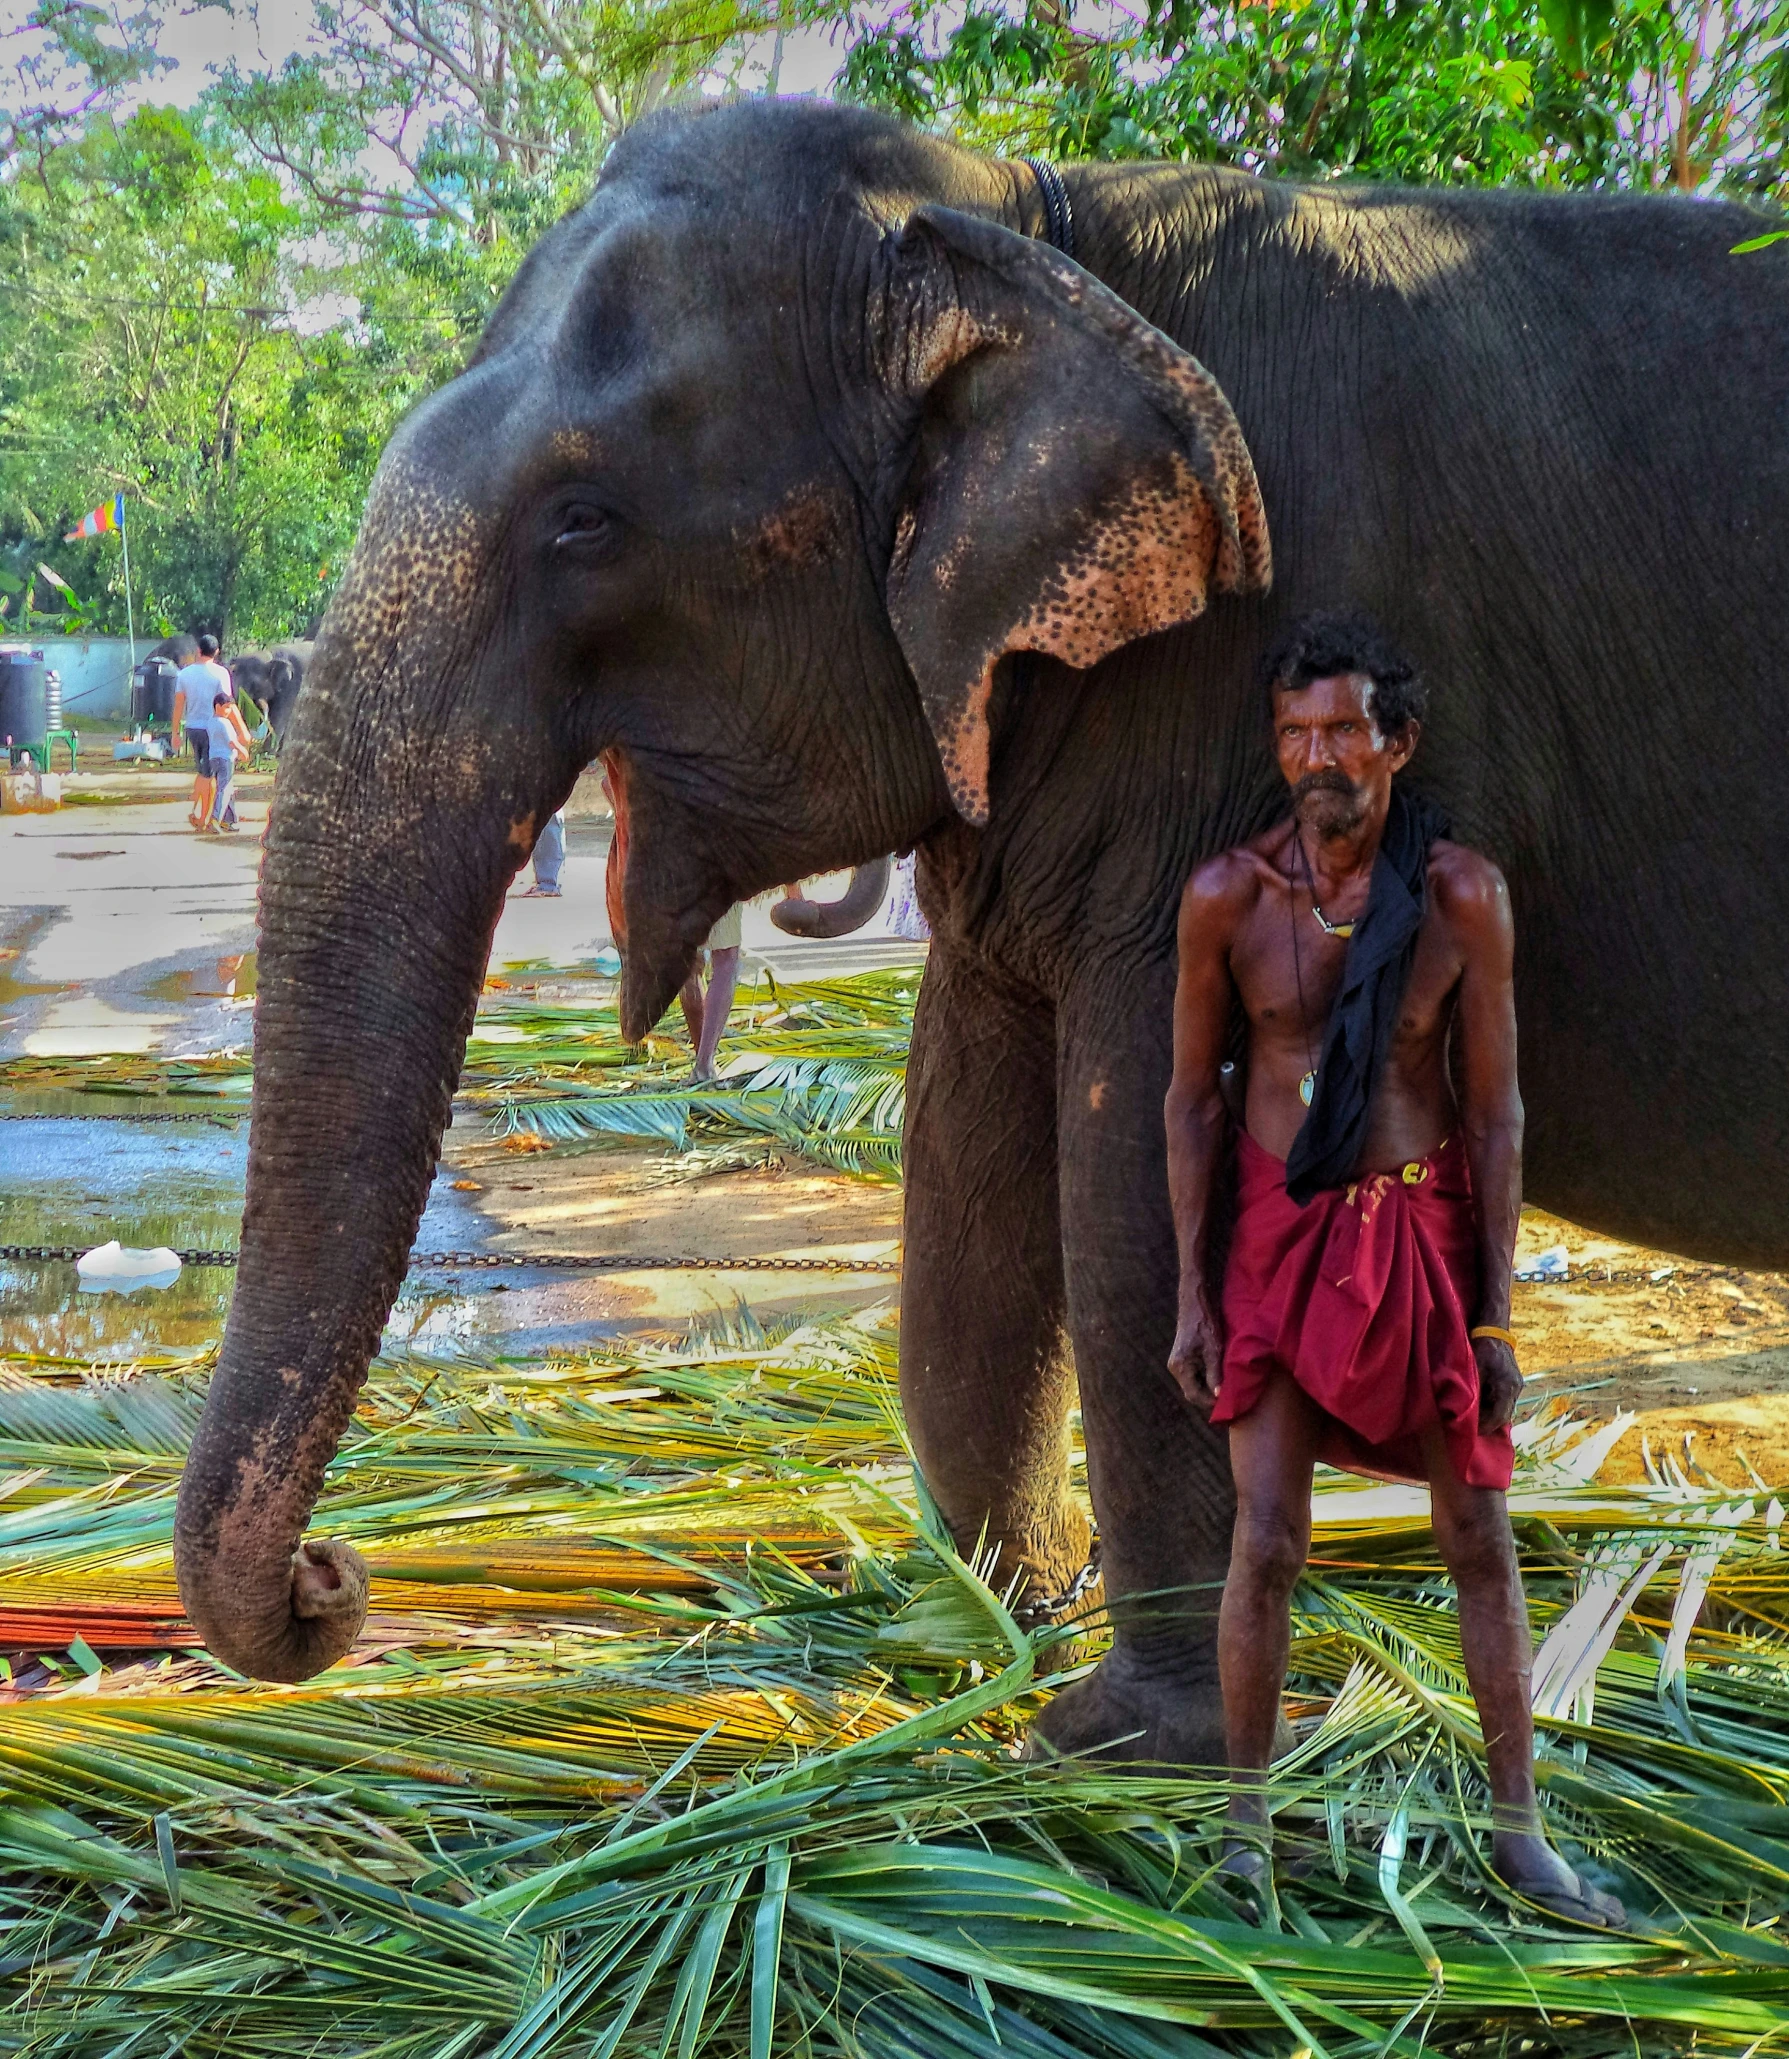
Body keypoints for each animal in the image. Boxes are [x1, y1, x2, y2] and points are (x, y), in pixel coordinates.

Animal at [174, 96, 1786, 1754]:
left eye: (584, 520)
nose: (333, 1577)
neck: (1019, 222)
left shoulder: (1238, 703)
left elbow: (1148, 1175)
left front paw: (1124, 1736)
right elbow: (965, 1150)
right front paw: (990, 1623)